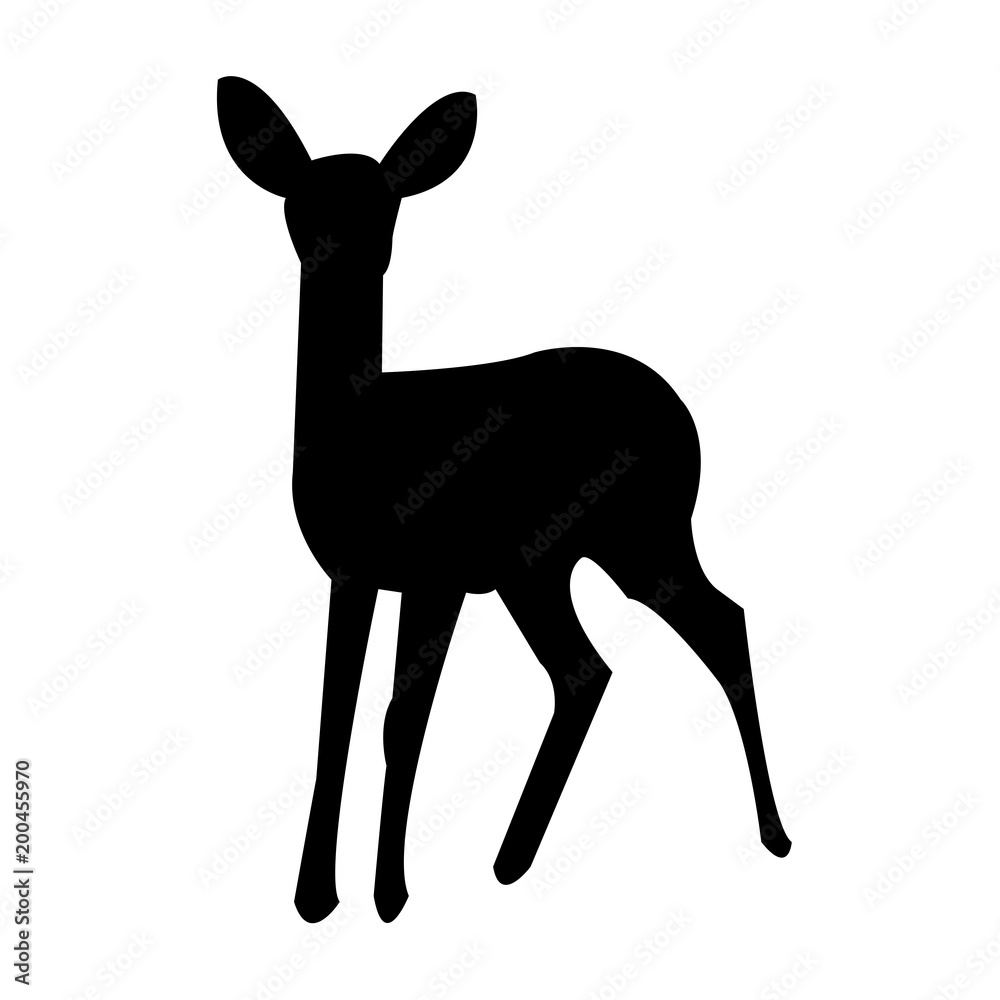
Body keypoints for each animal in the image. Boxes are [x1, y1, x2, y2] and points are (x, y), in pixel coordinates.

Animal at [216, 76, 792, 924]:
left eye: (387, 203)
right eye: (301, 204)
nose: (343, 251)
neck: (362, 429)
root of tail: (680, 412)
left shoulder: (431, 573)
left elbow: (396, 720)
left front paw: (380, 894)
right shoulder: (364, 573)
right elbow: (339, 715)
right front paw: (329, 894)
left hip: (623, 542)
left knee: (677, 636)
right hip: (569, 562)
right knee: (627, 655)